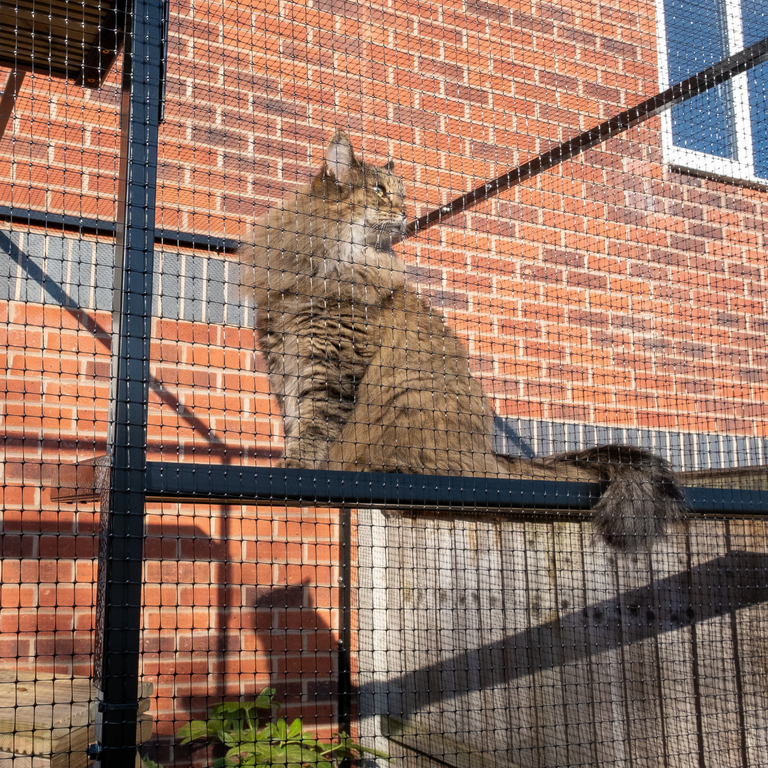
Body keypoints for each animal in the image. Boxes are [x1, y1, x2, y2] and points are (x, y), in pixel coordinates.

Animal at [240, 132, 684, 552]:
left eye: (399, 194)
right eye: (379, 191)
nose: (405, 212)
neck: (324, 264)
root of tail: (488, 459)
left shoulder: (332, 360)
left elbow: (315, 423)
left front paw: (298, 470)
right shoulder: (284, 358)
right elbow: (294, 418)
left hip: (413, 396)